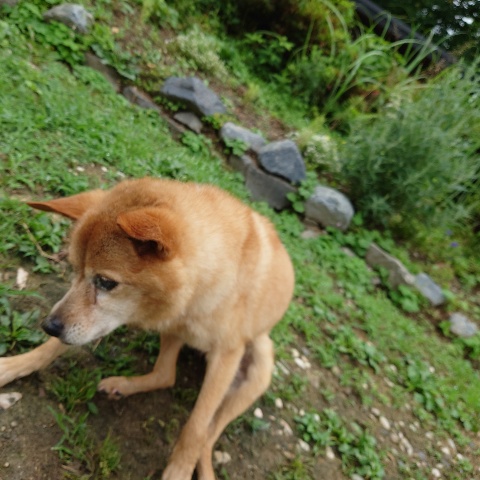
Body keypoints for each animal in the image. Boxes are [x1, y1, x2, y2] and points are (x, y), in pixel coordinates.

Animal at [0, 178, 294, 480]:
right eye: (74, 270)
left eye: (106, 282)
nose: (49, 326)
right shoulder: (113, 318)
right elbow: (51, 347)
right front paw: (12, 366)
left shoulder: (226, 356)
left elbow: (196, 428)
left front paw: (179, 470)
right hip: (171, 330)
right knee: (166, 375)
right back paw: (121, 385)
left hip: (257, 366)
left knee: (208, 431)